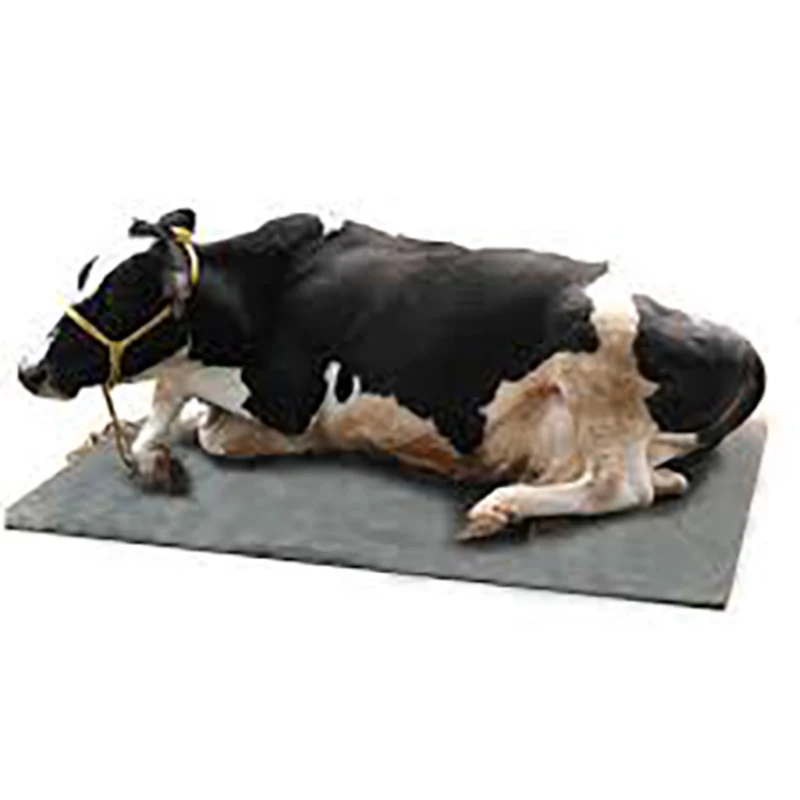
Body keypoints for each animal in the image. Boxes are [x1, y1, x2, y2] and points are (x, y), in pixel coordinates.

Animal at [18, 209, 766, 540]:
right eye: (81, 278)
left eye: (112, 300)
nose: (27, 369)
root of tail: (745, 344)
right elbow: (174, 403)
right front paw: (129, 447)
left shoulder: (291, 394)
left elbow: (208, 425)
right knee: (647, 479)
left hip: (599, 349)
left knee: (621, 486)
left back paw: (500, 505)